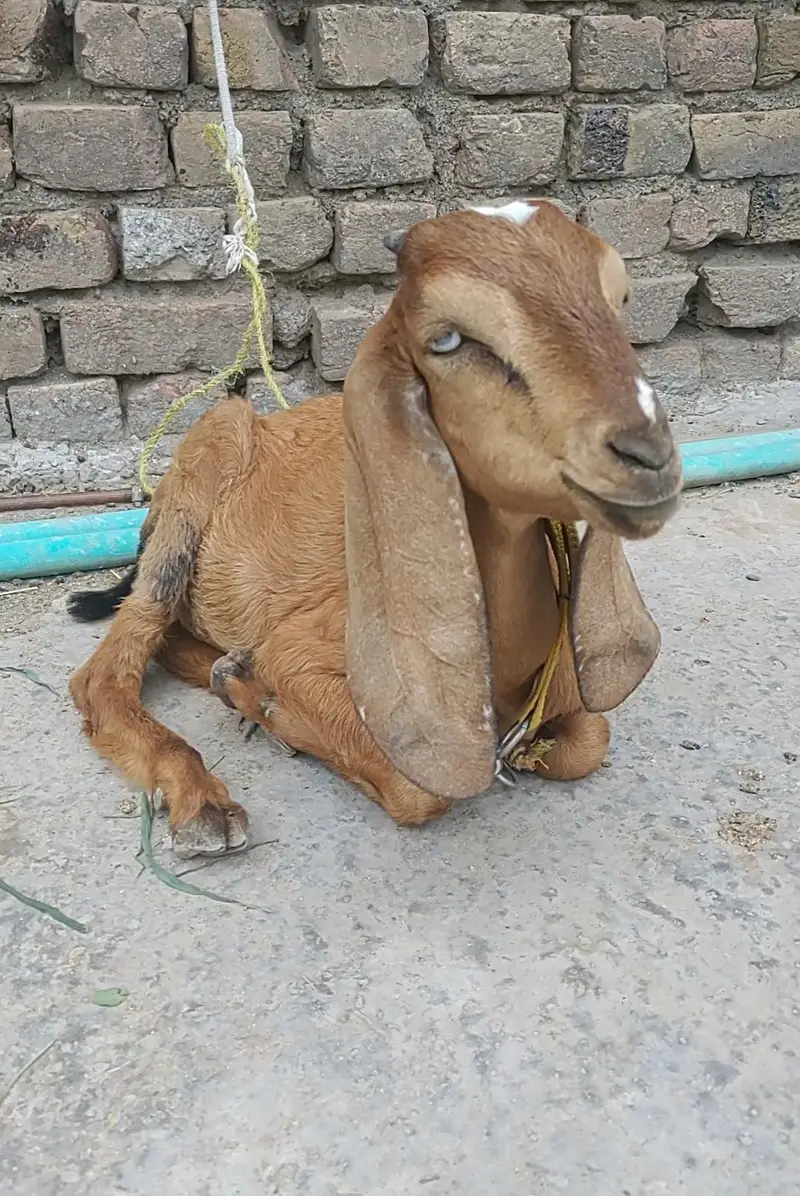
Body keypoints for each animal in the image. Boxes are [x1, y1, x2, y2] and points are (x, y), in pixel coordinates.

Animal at [68, 202, 682, 857]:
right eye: (447, 338)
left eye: (620, 300)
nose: (648, 455)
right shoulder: (307, 651)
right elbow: (421, 790)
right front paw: (256, 695)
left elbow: (590, 741)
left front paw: (244, 685)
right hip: (206, 458)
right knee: (107, 670)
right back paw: (201, 796)